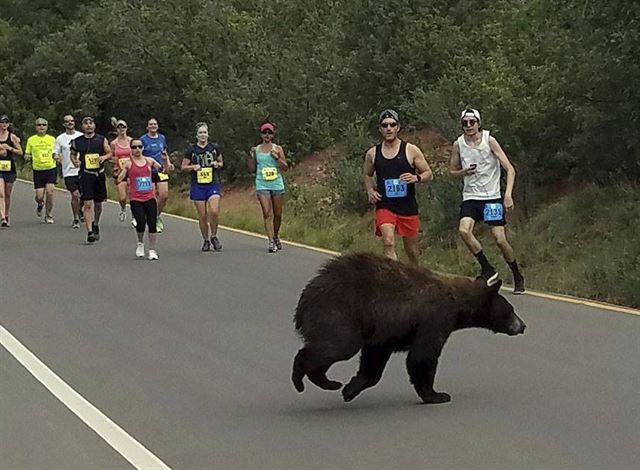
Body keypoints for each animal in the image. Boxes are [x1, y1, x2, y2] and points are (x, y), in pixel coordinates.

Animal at [292, 253, 528, 404]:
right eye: (511, 310)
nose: (523, 325)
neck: (459, 303)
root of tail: (303, 302)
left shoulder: (386, 329)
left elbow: (375, 356)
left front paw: (352, 387)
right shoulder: (436, 318)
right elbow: (422, 356)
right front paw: (437, 395)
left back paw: (327, 381)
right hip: (338, 314)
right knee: (336, 346)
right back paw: (305, 379)